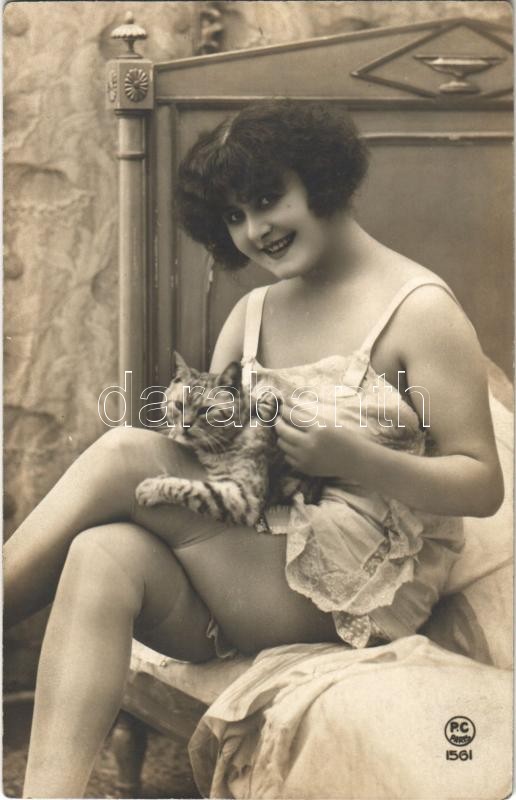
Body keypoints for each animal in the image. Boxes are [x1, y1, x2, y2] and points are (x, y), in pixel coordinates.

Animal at [135, 353, 322, 527]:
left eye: (205, 410)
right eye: (179, 406)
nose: (185, 425)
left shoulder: (244, 498)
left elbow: (190, 488)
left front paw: (151, 488)